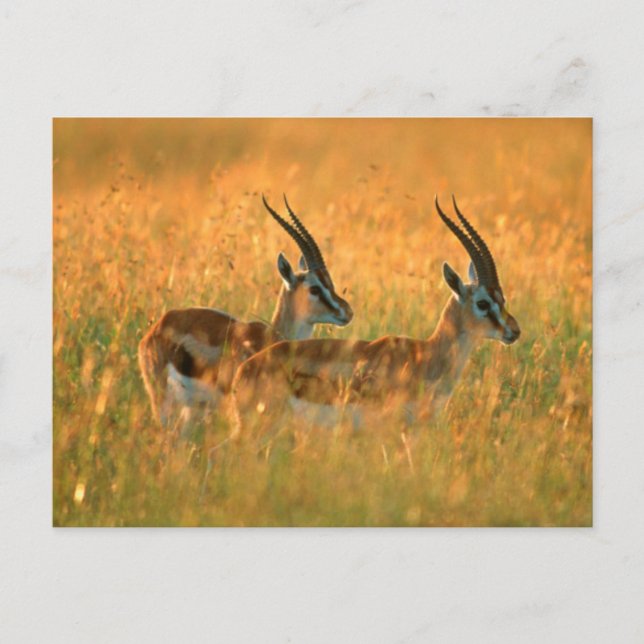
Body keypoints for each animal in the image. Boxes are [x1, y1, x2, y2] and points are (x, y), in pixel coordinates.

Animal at [138, 194, 353, 431]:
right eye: (314, 288)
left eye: (330, 282)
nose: (347, 311)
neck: (271, 338)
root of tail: (157, 327)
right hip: (164, 403)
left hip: (190, 410)